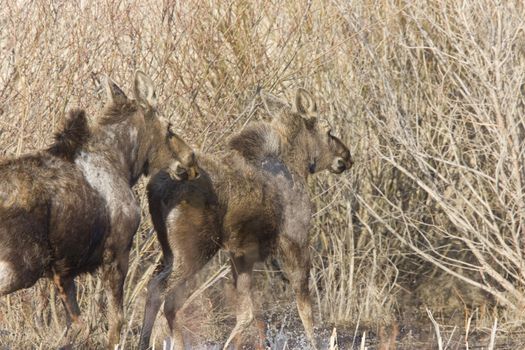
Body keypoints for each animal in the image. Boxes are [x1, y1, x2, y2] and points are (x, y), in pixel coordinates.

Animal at [0, 71, 199, 348]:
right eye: (169, 128)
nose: (191, 159)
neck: (124, 165)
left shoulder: (63, 270)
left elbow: (76, 326)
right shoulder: (117, 253)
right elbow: (116, 321)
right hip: (22, 265)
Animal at [139, 89, 352, 348]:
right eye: (329, 131)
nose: (347, 157)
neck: (298, 165)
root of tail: (156, 189)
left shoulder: (241, 254)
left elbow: (246, 313)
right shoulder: (295, 239)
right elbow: (305, 309)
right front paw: (313, 343)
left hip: (170, 250)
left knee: (159, 292)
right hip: (194, 250)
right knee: (162, 293)